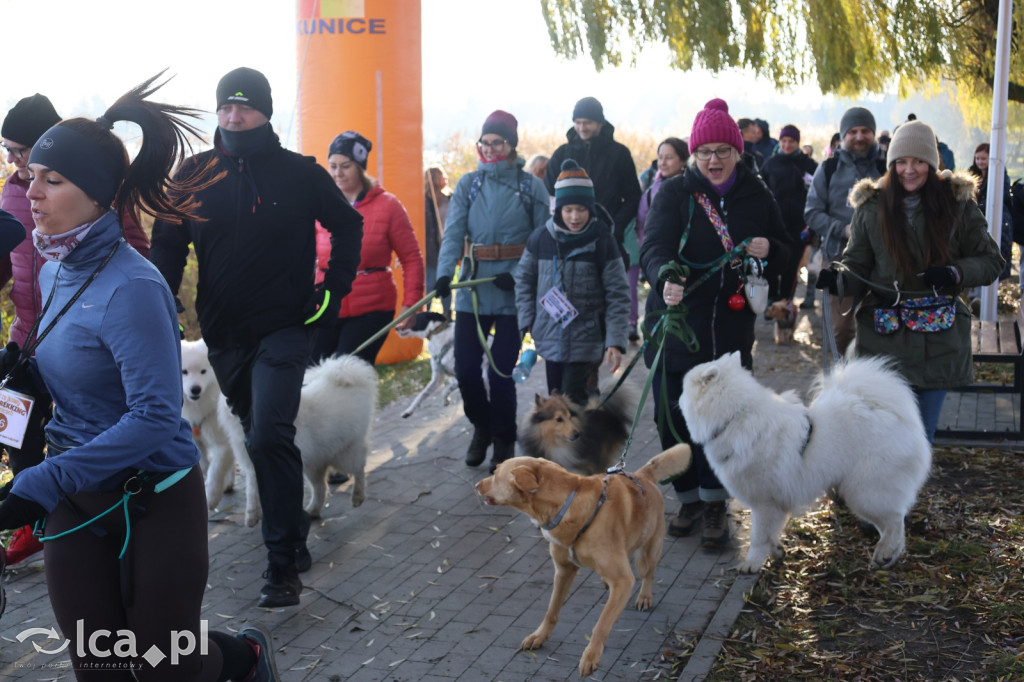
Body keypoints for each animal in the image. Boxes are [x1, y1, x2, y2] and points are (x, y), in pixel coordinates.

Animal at [475, 446, 692, 675]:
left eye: (495, 473)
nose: (476, 485)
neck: (566, 505)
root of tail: (643, 475)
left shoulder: (623, 581)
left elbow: (602, 624)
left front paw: (591, 655)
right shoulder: (563, 571)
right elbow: (551, 611)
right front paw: (539, 636)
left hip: (647, 553)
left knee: (647, 574)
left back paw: (644, 596)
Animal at [679, 352, 937, 569]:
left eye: (683, 389)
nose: (677, 399)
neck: (735, 417)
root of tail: (889, 411)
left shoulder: (764, 502)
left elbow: (758, 536)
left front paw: (751, 564)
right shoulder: (777, 503)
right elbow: (771, 534)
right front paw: (776, 552)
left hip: (865, 492)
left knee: (895, 520)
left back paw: (884, 551)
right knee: (896, 524)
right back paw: (888, 556)